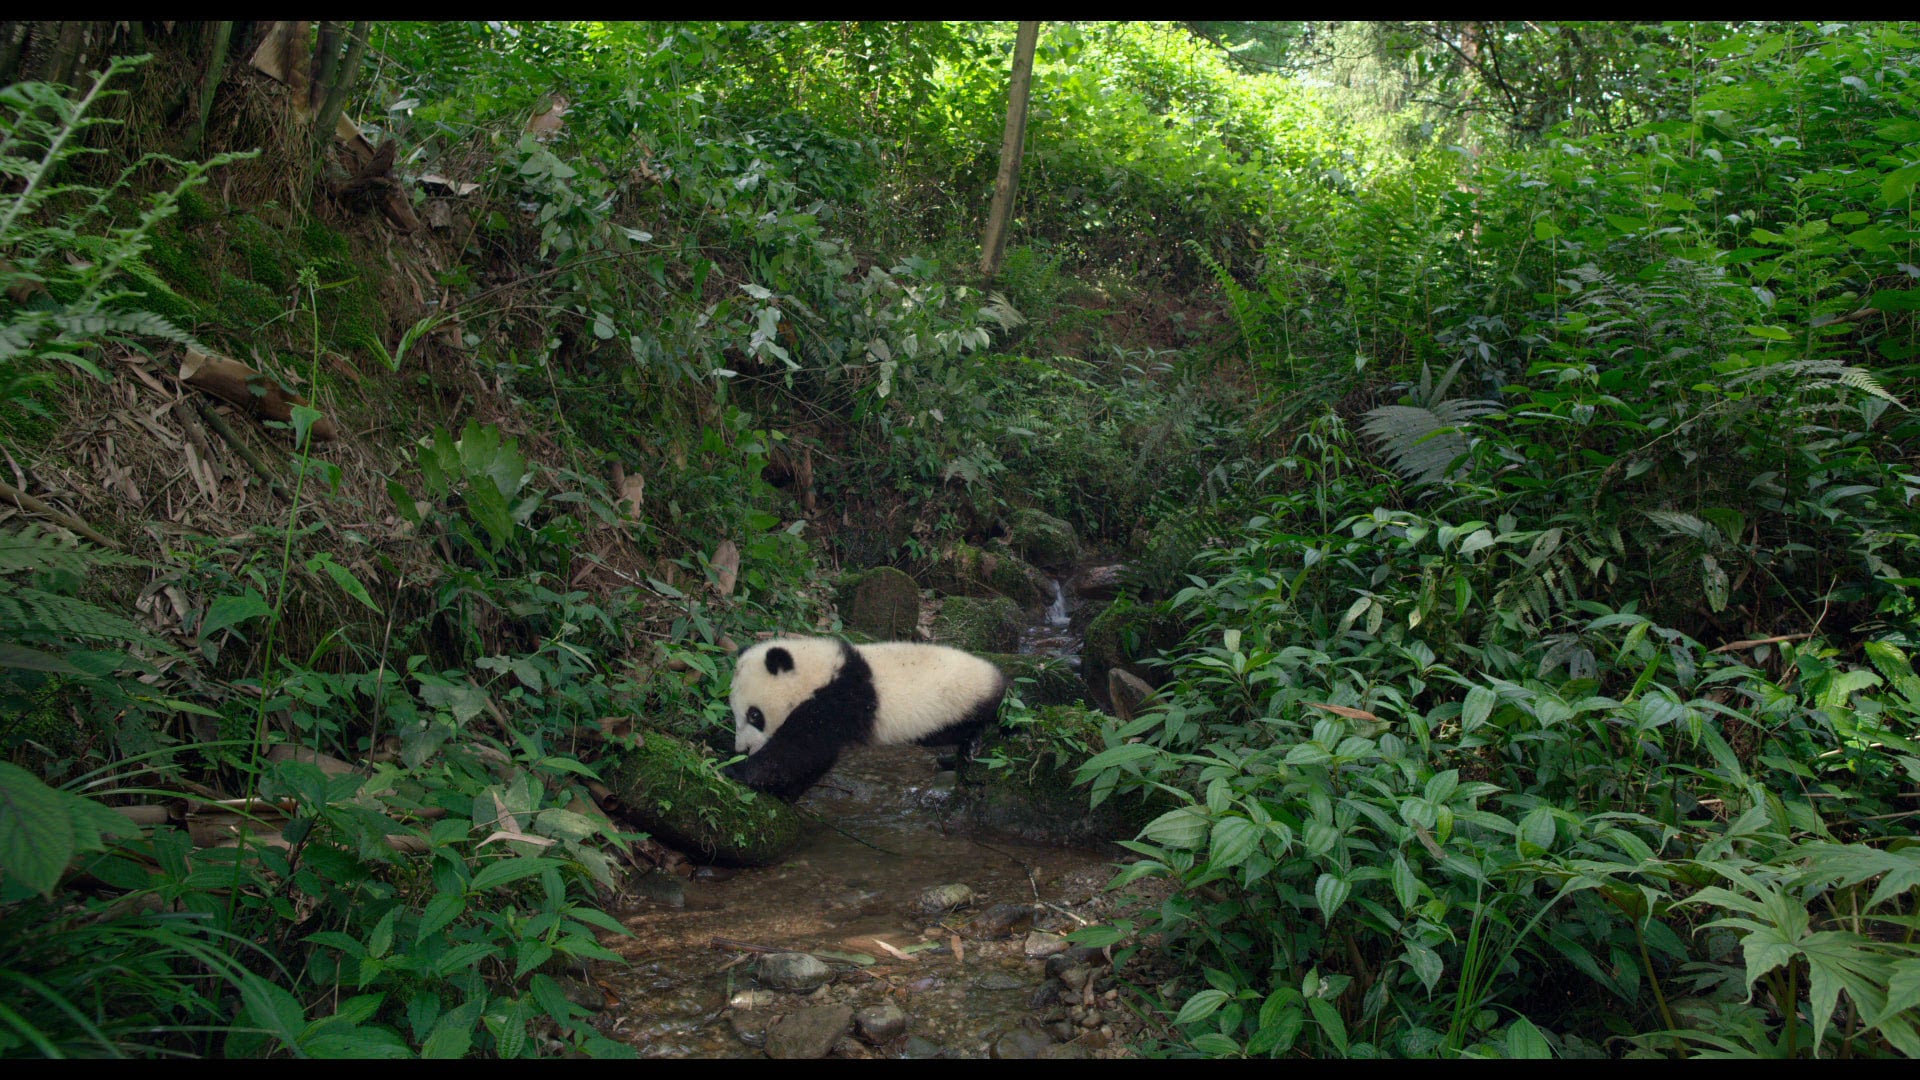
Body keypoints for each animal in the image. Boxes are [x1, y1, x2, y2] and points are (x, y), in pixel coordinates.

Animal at [721, 637, 1008, 801]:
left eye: (754, 715)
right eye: (734, 713)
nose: (742, 748)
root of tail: (996, 672)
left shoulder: (833, 702)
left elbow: (797, 754)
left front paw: (737, 769)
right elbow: (811, 761)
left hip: (965, 694)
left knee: (982, 716)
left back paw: (974, 741)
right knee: (937, 735)